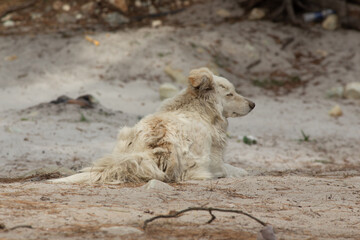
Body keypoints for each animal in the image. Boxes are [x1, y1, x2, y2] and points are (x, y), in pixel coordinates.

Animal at [51, 67, 256, 184]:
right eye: (230, 94)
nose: (253, 104)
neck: (197, 109)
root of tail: (159, 145)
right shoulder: (217, 162)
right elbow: (237, 169)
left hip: (124, 135)